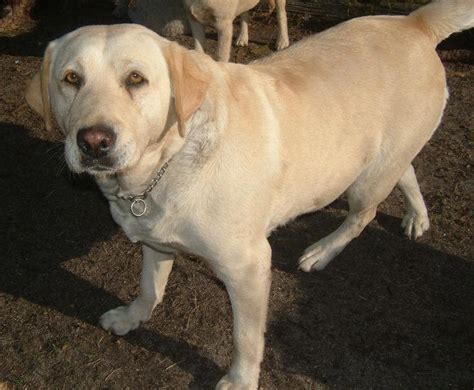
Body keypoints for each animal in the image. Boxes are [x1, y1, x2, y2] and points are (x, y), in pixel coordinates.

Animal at [25, 1, 474, 388]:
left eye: (136, 79)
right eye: (71, 79)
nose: (94, 142)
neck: (168, 161)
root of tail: (414, 22)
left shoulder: (249, 267)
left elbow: (246, 338)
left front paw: (241, 380)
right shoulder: (156, 241)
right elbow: (149, 288)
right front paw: (132, 317)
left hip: (364, 181)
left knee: (364, 214)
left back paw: (323, 251)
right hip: (381, 157)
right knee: (408, 171)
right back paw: (417, 215)